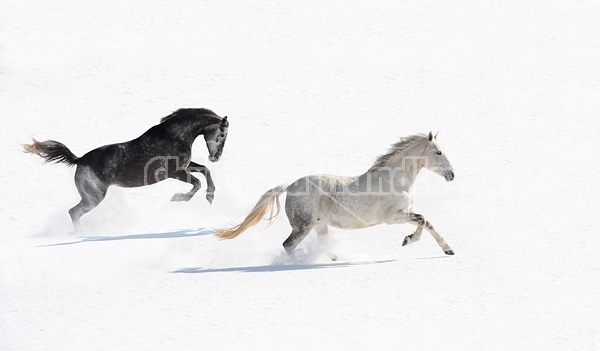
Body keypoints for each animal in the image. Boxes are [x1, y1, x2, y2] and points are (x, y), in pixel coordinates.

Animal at [24, 108, 229, 232]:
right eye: (222, 134)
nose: (215, 157)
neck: (174, 136)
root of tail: (79, 160)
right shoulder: (174, 172)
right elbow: (197, 182)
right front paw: (179, 198)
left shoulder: (184, 167)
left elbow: (205, 171)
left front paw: (210, 196)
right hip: (93, 197)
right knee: (74, 212)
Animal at [218, 132, 458, 258]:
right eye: (438, 152)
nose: (452, 174)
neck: (395, 179)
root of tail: (290, 186)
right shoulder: (392, 217)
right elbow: (423, 220)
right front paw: (409, 241)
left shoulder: (403, 213)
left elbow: (427, 222)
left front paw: (448, 250)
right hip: (303, 226)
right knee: (288, 245)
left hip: (319, 224)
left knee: (322, 244)